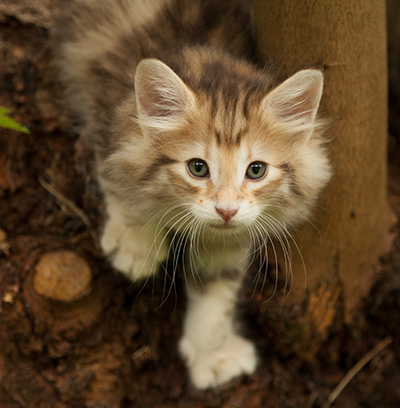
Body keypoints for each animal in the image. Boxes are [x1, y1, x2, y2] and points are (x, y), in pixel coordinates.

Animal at [53, 0, 332, 388]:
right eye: (198, 168)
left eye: (256, 170)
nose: (226, 210)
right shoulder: (105, 107)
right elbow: (117, 175)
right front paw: (135, 245)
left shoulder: (229, 239)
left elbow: (217, 290)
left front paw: (210, 353)